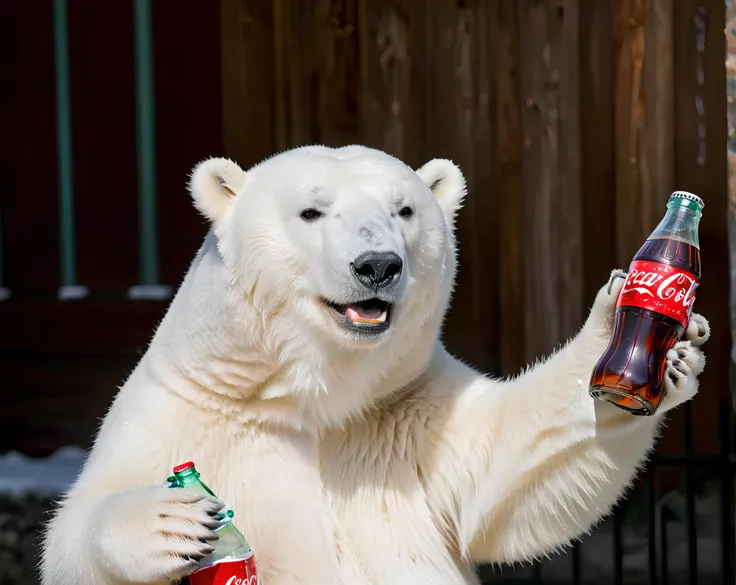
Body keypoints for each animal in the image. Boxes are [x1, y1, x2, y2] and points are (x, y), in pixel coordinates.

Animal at [40, 143, 708, 584]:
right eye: (311, 211)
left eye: (404, 210)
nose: (378, 265)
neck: (317, 397)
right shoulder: (192, 411)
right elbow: (76, 533)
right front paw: (169, 524)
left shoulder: (405, 418)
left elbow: (510, 475)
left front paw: (649, 337)